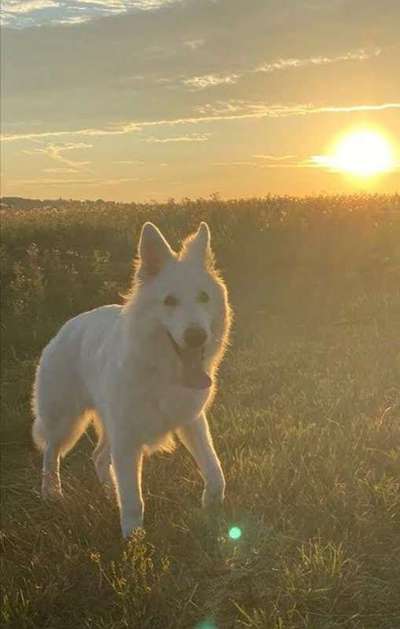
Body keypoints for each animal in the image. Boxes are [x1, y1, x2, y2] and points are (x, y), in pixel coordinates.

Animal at [32, 221, 233, 536]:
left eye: (203, 297)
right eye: (170, 301)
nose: (196, 336)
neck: (161, 372)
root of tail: (66, 326)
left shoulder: (192, 422)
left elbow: (215, 471)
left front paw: (212, 508)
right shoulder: (127, 440)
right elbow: (133, 500)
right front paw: (133, 540)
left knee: (99, 457)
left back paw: (106, 493)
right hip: (64, 420)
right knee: (51, 454)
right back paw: (52, 493)